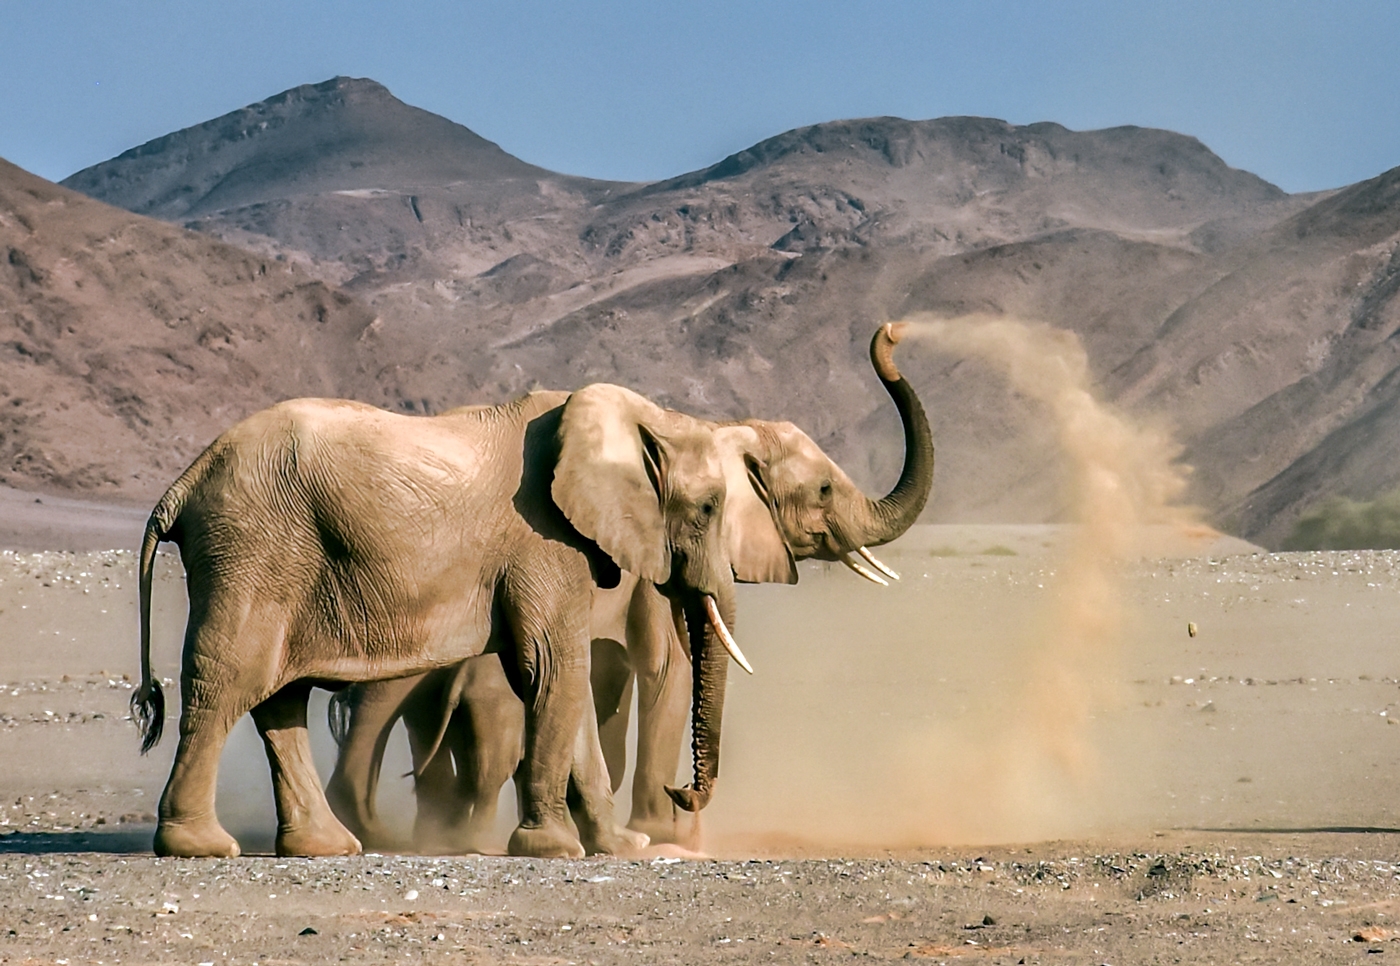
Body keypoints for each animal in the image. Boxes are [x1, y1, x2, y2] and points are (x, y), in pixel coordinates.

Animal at [130, 380, 744, 856]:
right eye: (709, 507)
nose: (680, 793)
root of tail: (183, 483)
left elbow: (562, 680)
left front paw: (621, 848)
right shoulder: (545, 539)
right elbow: (552, 668)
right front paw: (556, 849)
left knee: (279, 697)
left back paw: (325, 847)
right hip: (250, 548)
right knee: (229, 681)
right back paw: (200, 845)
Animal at [317, 322, 929, 840]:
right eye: (824, 490)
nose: (893, 332)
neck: (707, 428)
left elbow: (618, 678)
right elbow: (668, 665)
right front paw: (664, 836)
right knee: (382, 698)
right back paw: (379, 832)